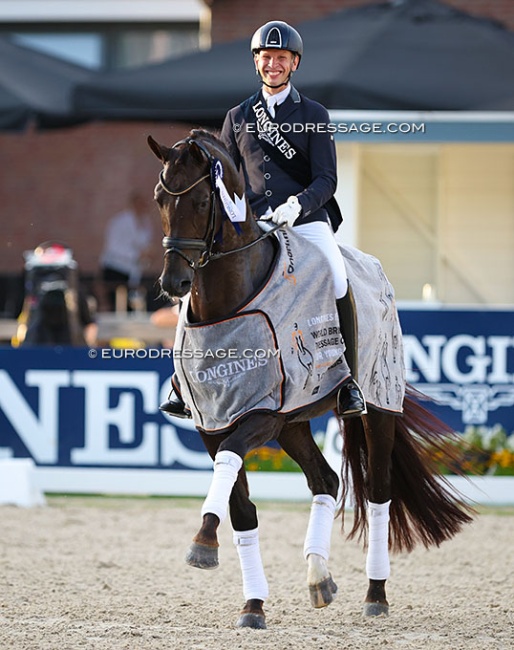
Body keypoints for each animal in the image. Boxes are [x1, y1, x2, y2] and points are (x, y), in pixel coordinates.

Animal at [146, 128, 470, 628]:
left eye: (201, 201)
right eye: (160, 199)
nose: (174, 283)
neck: (226, 304)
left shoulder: (260, 415)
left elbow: (234, 465)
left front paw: (202, 543)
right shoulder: (214, 421)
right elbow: (241, 508)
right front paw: (252, 604)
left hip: (376, 408)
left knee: (377, 494)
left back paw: (375, 594)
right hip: (295, 423)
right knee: (326, 481)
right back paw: (320, 579)